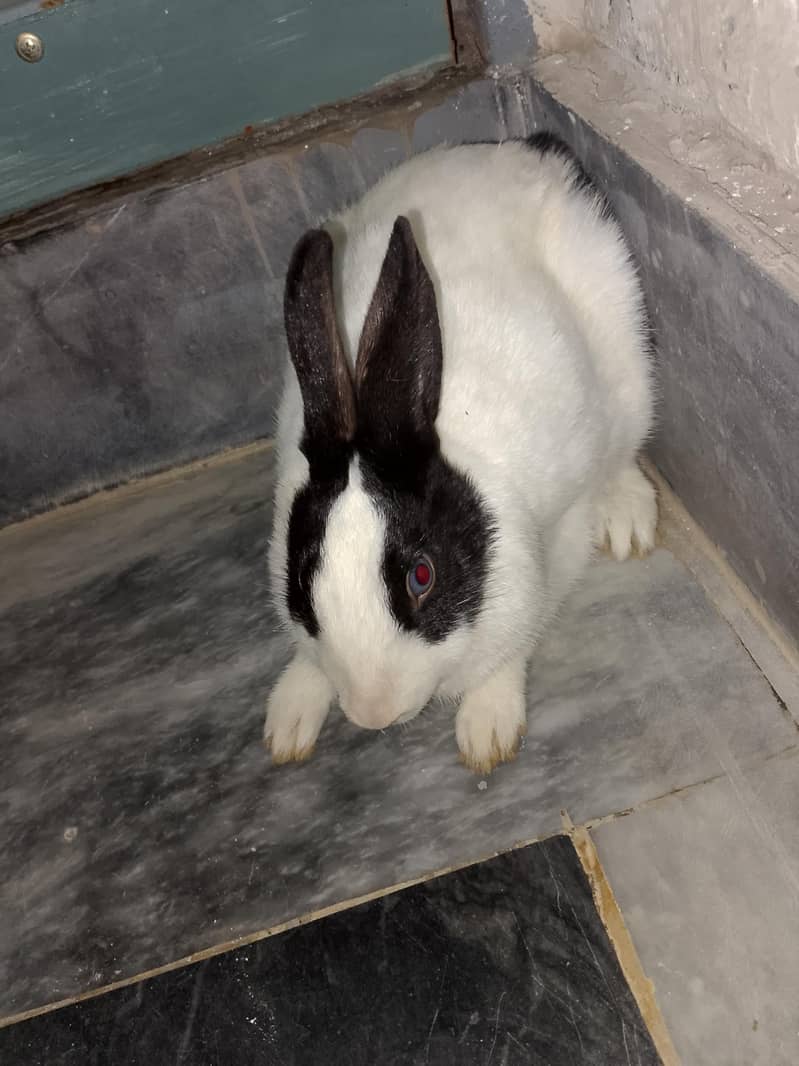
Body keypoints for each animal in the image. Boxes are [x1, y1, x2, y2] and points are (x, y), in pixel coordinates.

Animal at [264, 133, 657, 774]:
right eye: (302, 573)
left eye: (421, 575)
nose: (373, 712)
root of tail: (527, 150)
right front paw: (289, 719)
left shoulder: (556, 544)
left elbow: (516, 643)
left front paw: (486, 730)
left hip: (631, 368)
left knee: (624, 452)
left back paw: (627, 521)